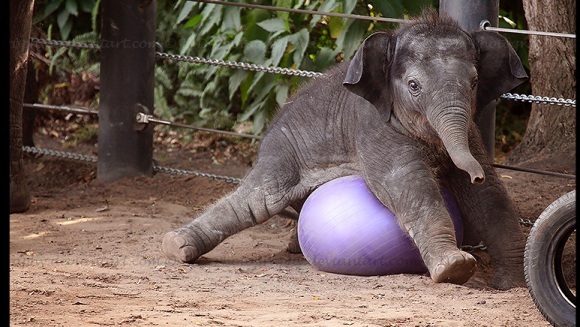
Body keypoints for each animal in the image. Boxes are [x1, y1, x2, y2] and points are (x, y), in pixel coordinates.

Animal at [163, 10, 532, 290]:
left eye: (474, 83)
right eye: (414, 86)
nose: (475, 175)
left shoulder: (469, 132)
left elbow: (489, 198)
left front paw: (513, 282)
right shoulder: (372, 128)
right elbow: (407, 184)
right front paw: (455, 268)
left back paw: (291, 247)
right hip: (283, 155)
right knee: (256, 201)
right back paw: (178, 246)